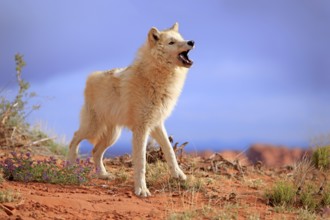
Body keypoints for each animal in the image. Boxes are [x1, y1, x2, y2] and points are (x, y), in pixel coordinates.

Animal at [68, 23, 195, 197]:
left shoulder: (156, 124)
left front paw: (179, 175)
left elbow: (170, 151)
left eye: (182, 39)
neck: (154, 79)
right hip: (93, 129)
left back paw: (103, 175)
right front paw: (141, 189)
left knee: (95, 151)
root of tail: (91, 76)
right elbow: (141, 162)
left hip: (112, 136)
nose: (192, 42)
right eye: (171, 42)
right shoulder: (141, 129)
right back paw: (70, 166)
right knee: (74, 138)